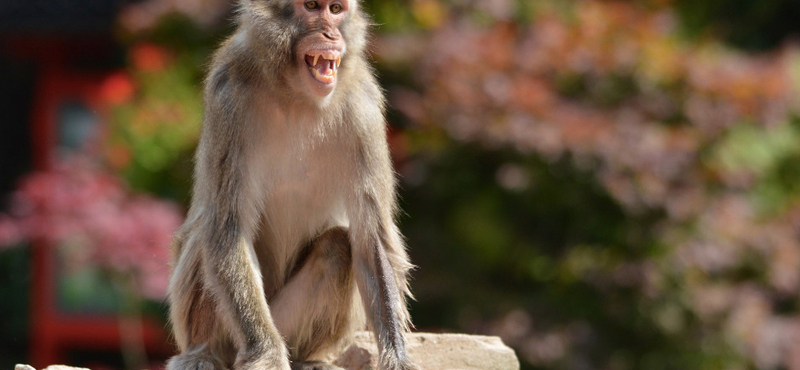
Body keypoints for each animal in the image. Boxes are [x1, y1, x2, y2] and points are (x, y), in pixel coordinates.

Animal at [166, 0, 416, 370]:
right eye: (311, 7)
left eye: (336, 9)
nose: (330, 34)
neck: (295, 95)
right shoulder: (229, 97)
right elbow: (229, 227)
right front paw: (267, 354)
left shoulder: (364, 107)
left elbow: (372, 239)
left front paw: (397, 356)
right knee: (208, 234)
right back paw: (203, 353)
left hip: (286, 320)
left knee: (338, 247)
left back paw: (309, 358)